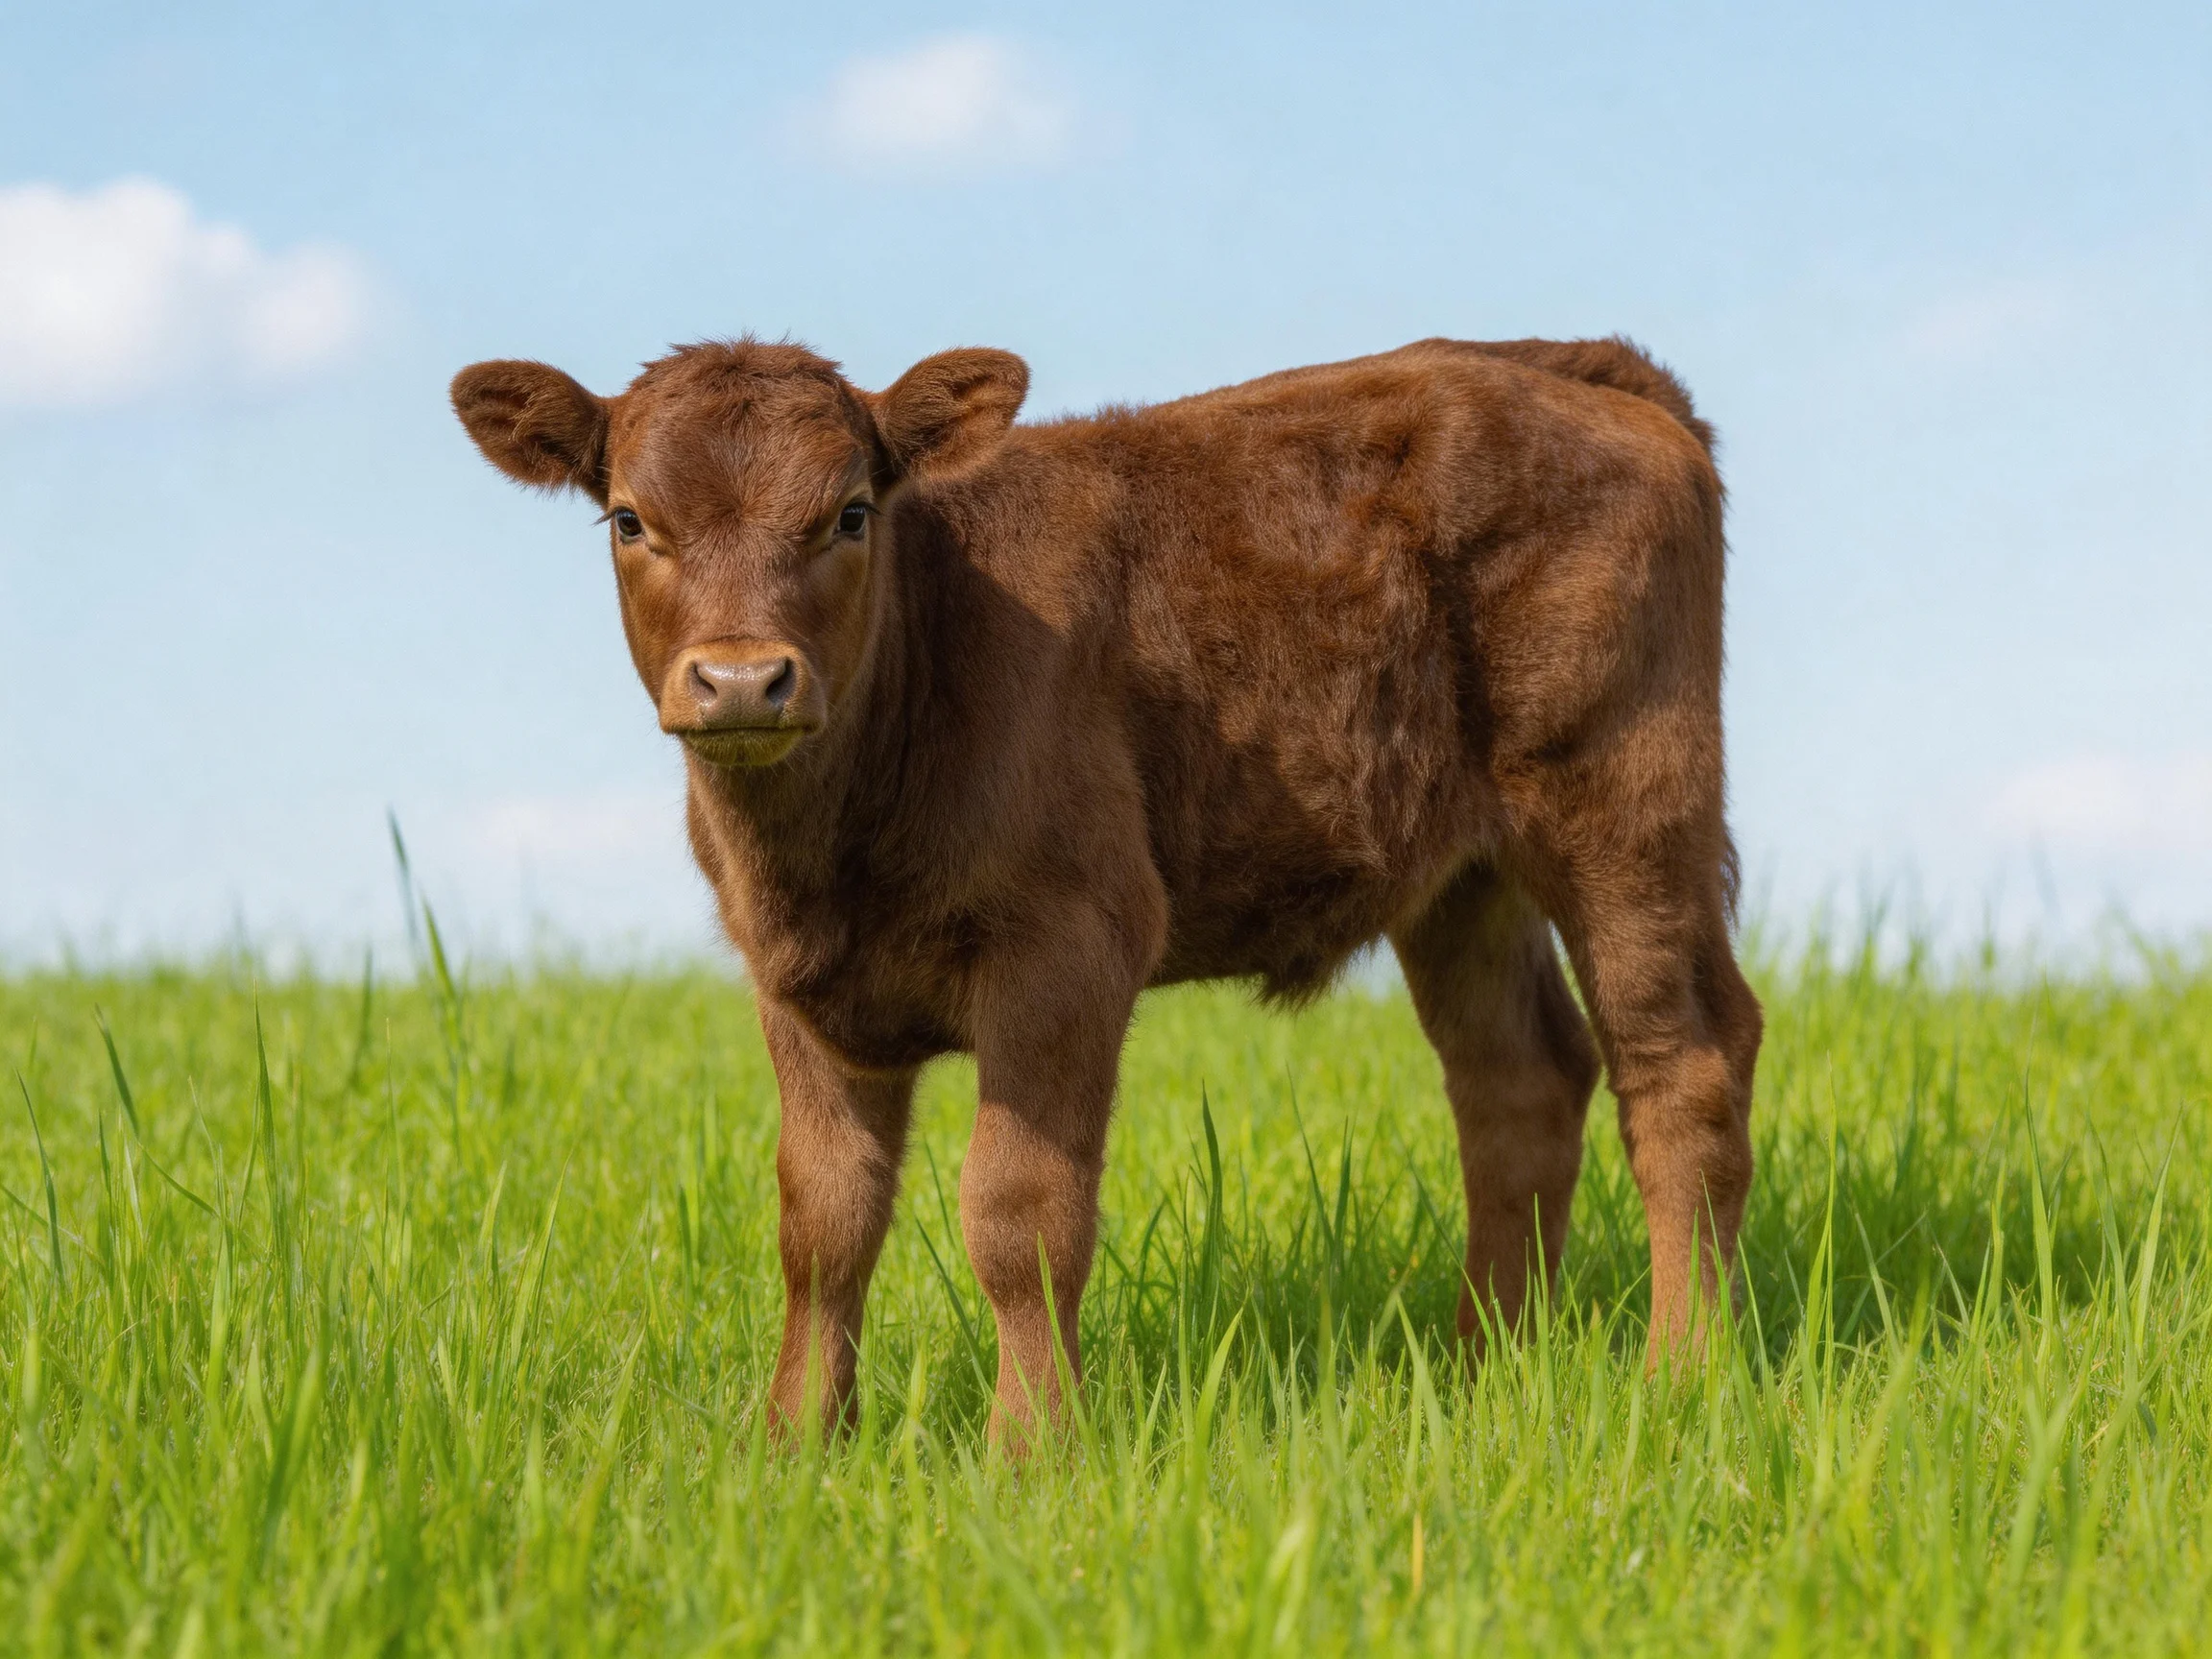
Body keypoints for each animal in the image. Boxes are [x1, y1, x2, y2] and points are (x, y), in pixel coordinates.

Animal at [451, 334, 1763, 1440]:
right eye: (630, 519)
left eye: (851, 512)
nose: (739, 681)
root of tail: (1568, 365)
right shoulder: (795, 983)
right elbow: (821, 1222)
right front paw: (794, 1448)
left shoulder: (1069, 943)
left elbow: (1019, 1214)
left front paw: (1031, 1450)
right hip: (1462, 878)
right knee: (1519, 1085)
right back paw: (1482, 1368)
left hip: (1626, 803)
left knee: (1683, 1064)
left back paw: (1681, 1376)